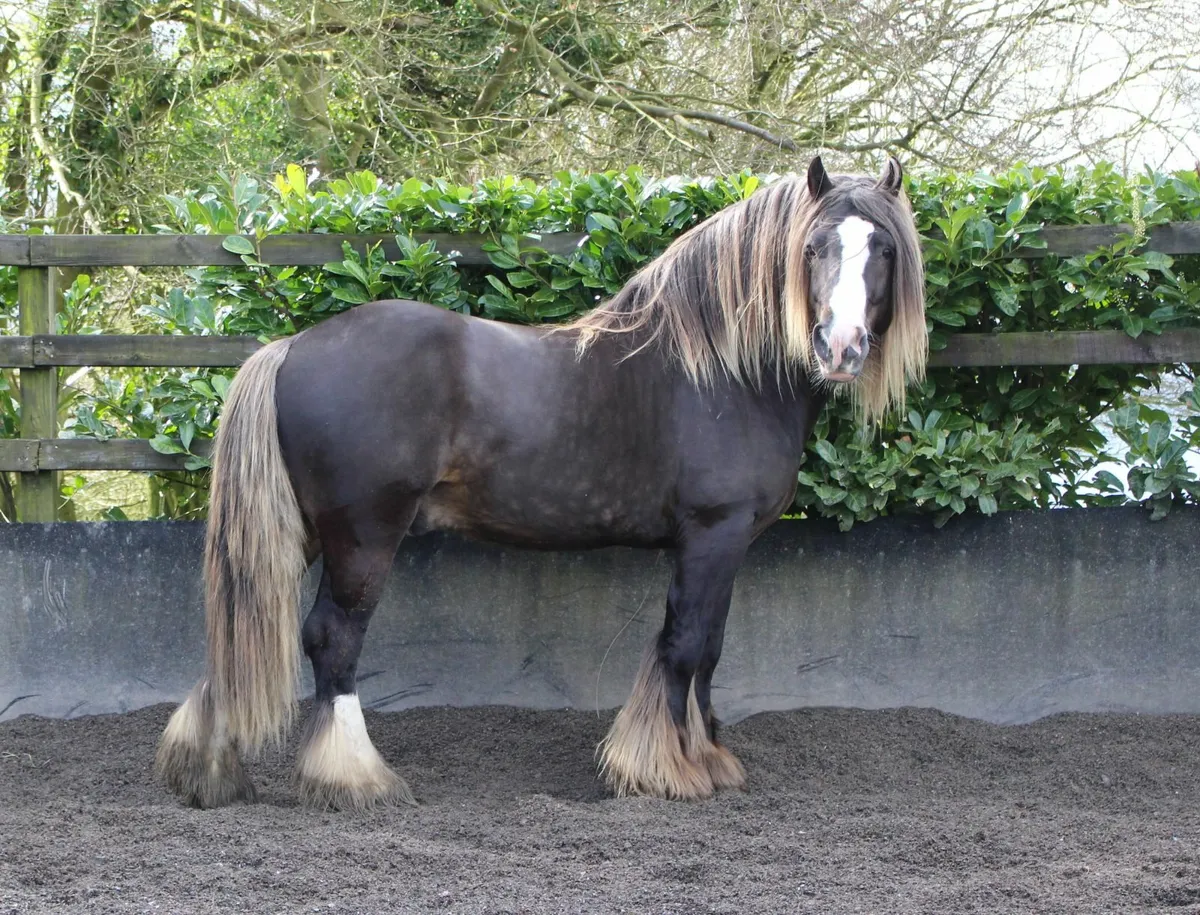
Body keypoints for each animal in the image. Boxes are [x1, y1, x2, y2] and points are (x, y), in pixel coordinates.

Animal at [156, 155, 926, 810]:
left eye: (883, 249)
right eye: (813, 248)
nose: (841, 347)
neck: (721, 370)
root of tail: (291, 348)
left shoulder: (724, 548)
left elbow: (707, 648)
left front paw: (705, 757)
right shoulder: (713, 536)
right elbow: (685, 645)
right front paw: (666, 769)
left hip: (305, 532)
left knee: (238, 623)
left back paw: (209, 772)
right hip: (363, 537)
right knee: (331, 640)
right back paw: (354, 778)